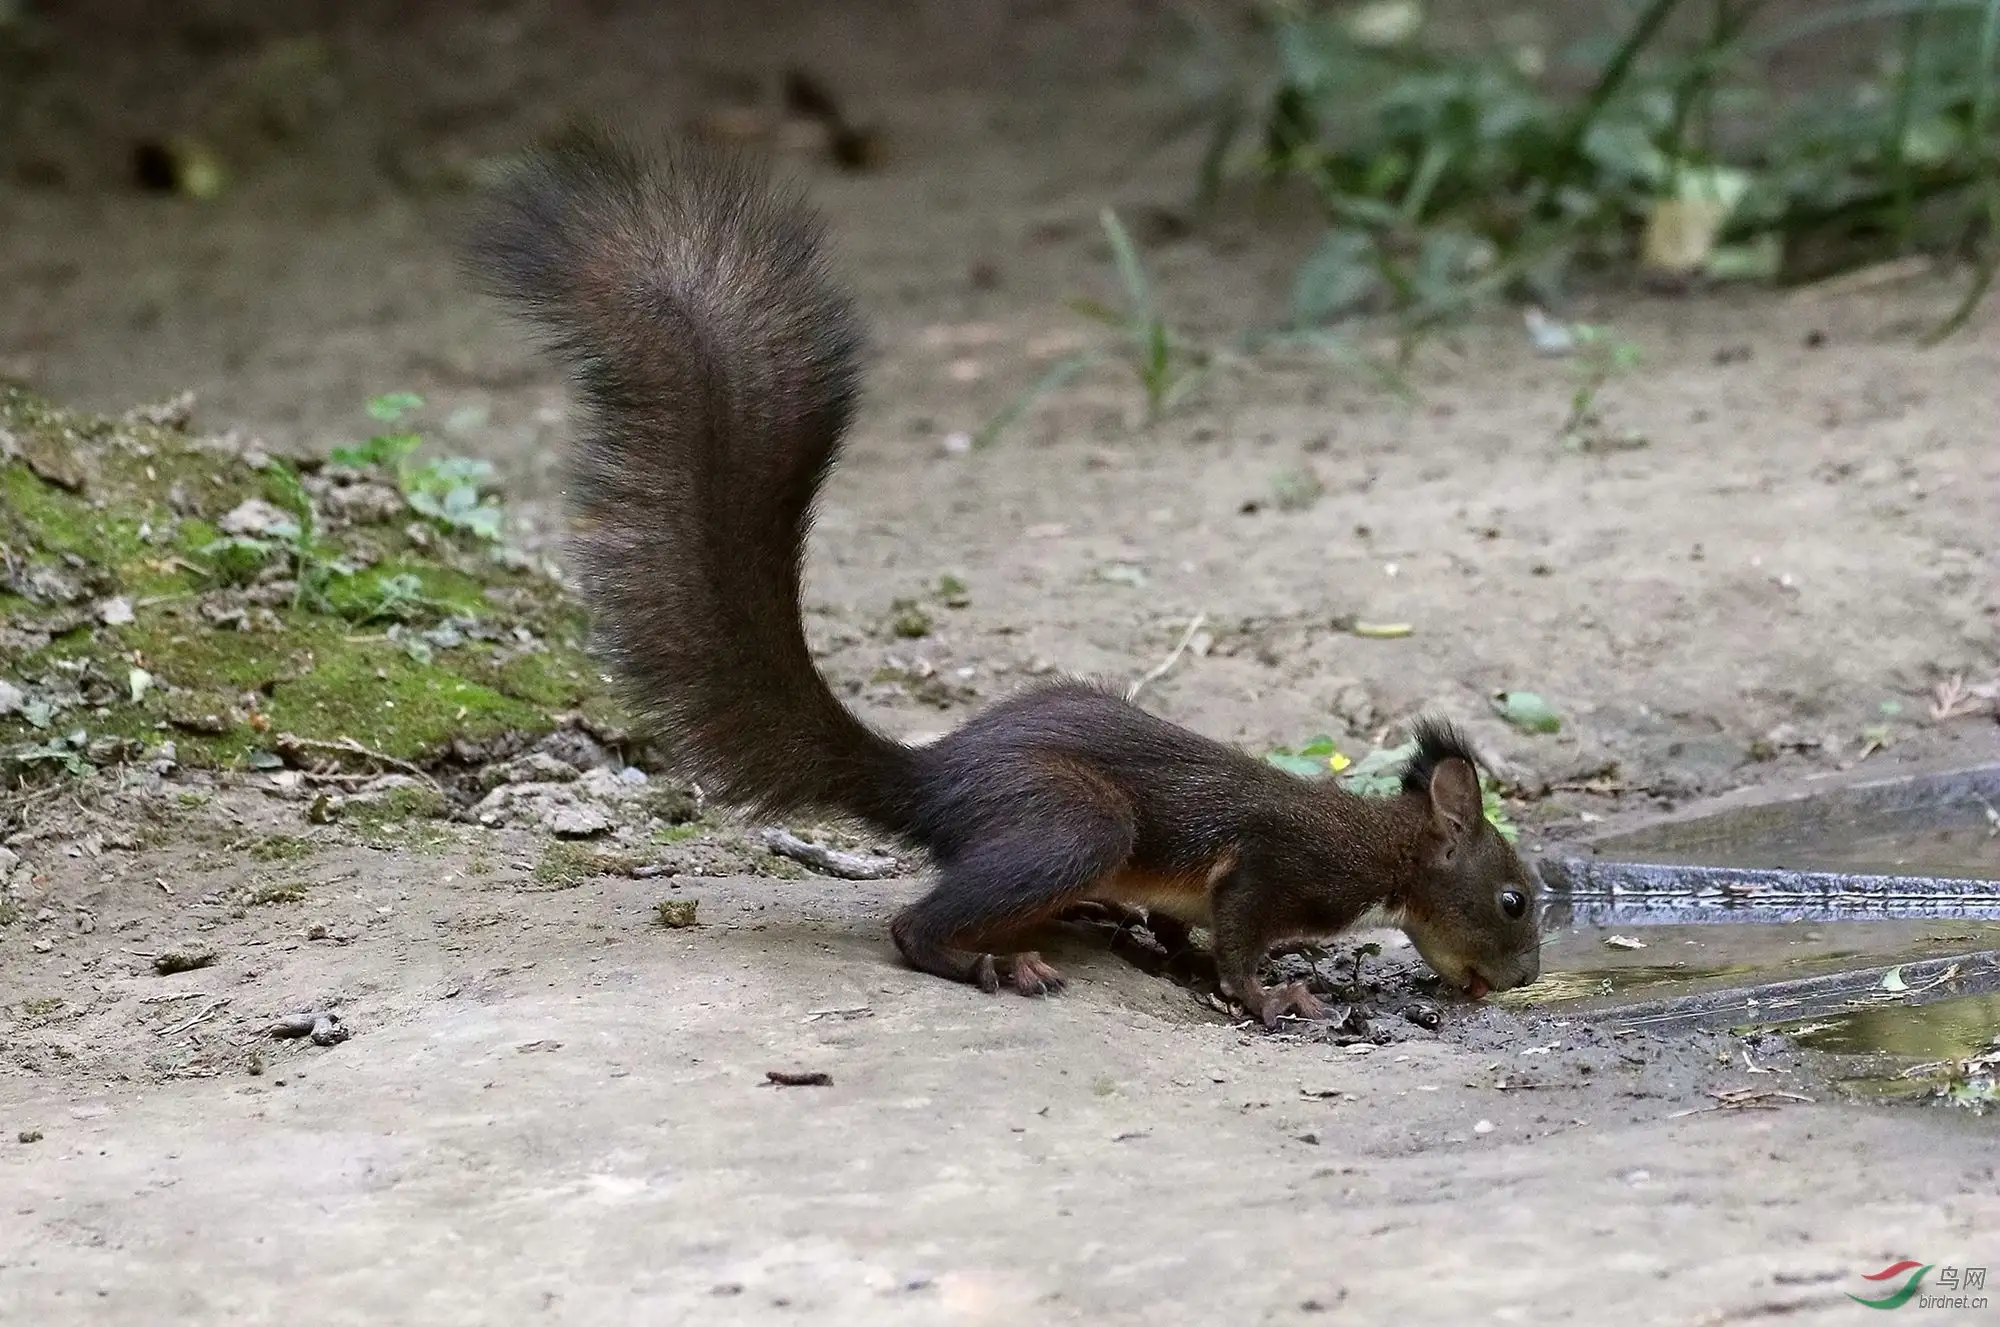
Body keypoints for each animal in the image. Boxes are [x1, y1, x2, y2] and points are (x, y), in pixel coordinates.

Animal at [458, 126, 1544, 1023]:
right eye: (1512, 898)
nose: (1526, 974)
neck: (1382, 847)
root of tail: (930, 780)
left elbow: (1189, 929)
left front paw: (1181, 955)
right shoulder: (1276, 869)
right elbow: (1238, 936)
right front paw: (1269, 994)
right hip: (1073, 820)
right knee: (913, 925)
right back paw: (996, 961)